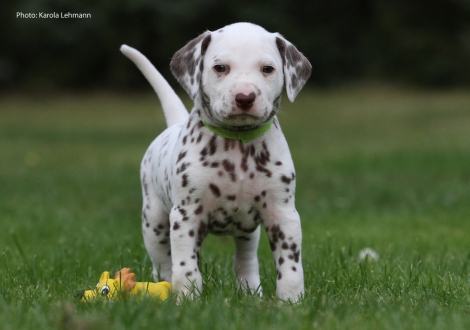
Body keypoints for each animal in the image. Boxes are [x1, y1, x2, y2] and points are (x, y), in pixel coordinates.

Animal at [120, 21, 312, 302]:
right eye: (220, 67)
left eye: (267, 69)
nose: (245, 97)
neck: (237, 146)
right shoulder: (186, 216)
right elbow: (185, 266)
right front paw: (187, 298)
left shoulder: (283, 214)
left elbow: (290, 265)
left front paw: (291, 301)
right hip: (154, 222)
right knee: (164, 264)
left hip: (247, 232)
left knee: (245, 261)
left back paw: (250, 292)